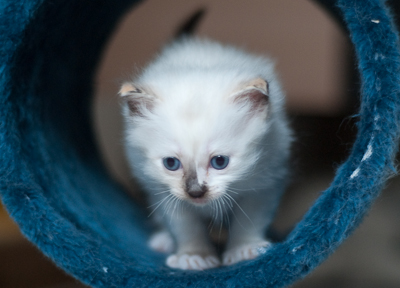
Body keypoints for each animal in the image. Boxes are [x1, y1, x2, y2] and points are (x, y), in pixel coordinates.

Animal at [119, 37, 290, 272]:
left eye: (219, 161)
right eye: (171, 163)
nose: (195, 192)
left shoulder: (265, 181)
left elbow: (249, 221)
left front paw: (244, 250)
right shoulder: (162, 191)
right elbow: (185, 226)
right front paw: (194, 256)